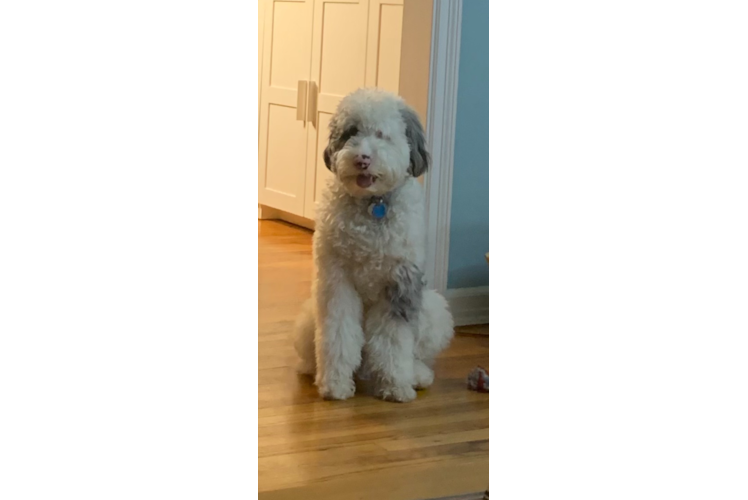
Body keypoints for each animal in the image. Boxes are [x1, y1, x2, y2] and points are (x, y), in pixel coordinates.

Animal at [296, 89, 452, 402]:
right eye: (351, 133)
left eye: (382, 134)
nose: (362, 159)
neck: (373, 204)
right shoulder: (337, 281)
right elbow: (338, 334)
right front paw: (335, 385)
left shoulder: (400, 283)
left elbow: (394, 340)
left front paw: (396, 386)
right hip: (308, 318)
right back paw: (313, 370)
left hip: (434, 310)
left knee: (415, 353)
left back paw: (416, 374)